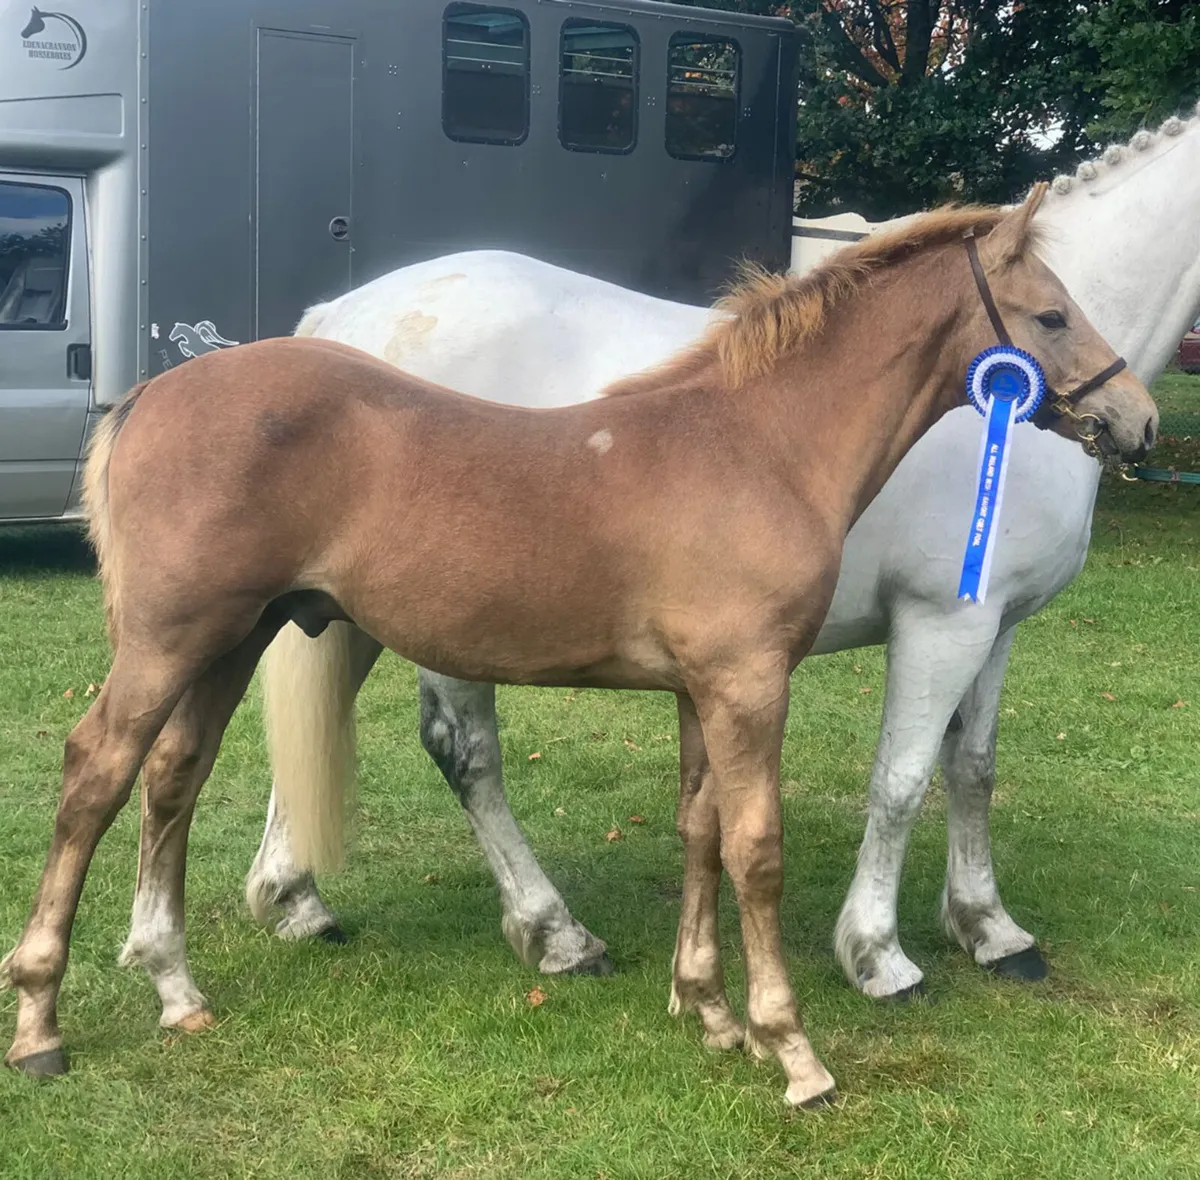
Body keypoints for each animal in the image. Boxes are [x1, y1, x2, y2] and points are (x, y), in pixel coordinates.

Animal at [1, 194, 1155, 1109]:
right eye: (1051, 313)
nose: (1136, 418)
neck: (759, 443)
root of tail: (156, 392)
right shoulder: (753, 684)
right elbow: (760, 850)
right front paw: (793, 1049)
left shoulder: (702, 690)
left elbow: (699, 831)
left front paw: (709, 1012)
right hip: (172, 639)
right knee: (97, 772)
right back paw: (42, 1021)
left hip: (234, 639)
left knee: (174, 776)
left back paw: (176, 988)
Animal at [239, 108, 1200, 998]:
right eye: (1052, 314)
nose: (1138, 423)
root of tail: (340, 319)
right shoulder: (942, 624)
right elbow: (900, 780)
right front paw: (878, 954)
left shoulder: (996, 626)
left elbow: (972, 769)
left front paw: (990, 929)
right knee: (465, 754)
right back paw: (555, 933)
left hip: (343, 607)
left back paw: (295, 901)